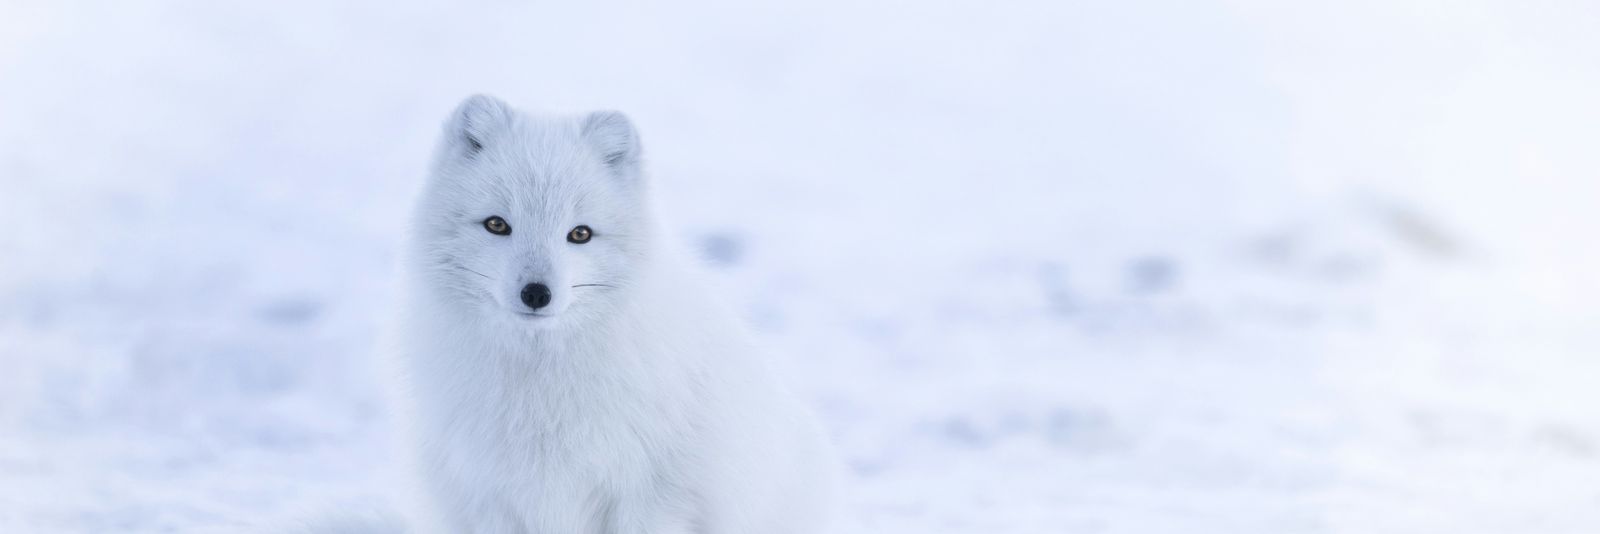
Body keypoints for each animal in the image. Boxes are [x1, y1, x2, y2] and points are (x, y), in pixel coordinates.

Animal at [376, 95, 837, 533]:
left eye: (580, 234)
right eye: (497, 225)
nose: (536, 293)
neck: (541, 384)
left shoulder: (653, 495)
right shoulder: (490, 497)